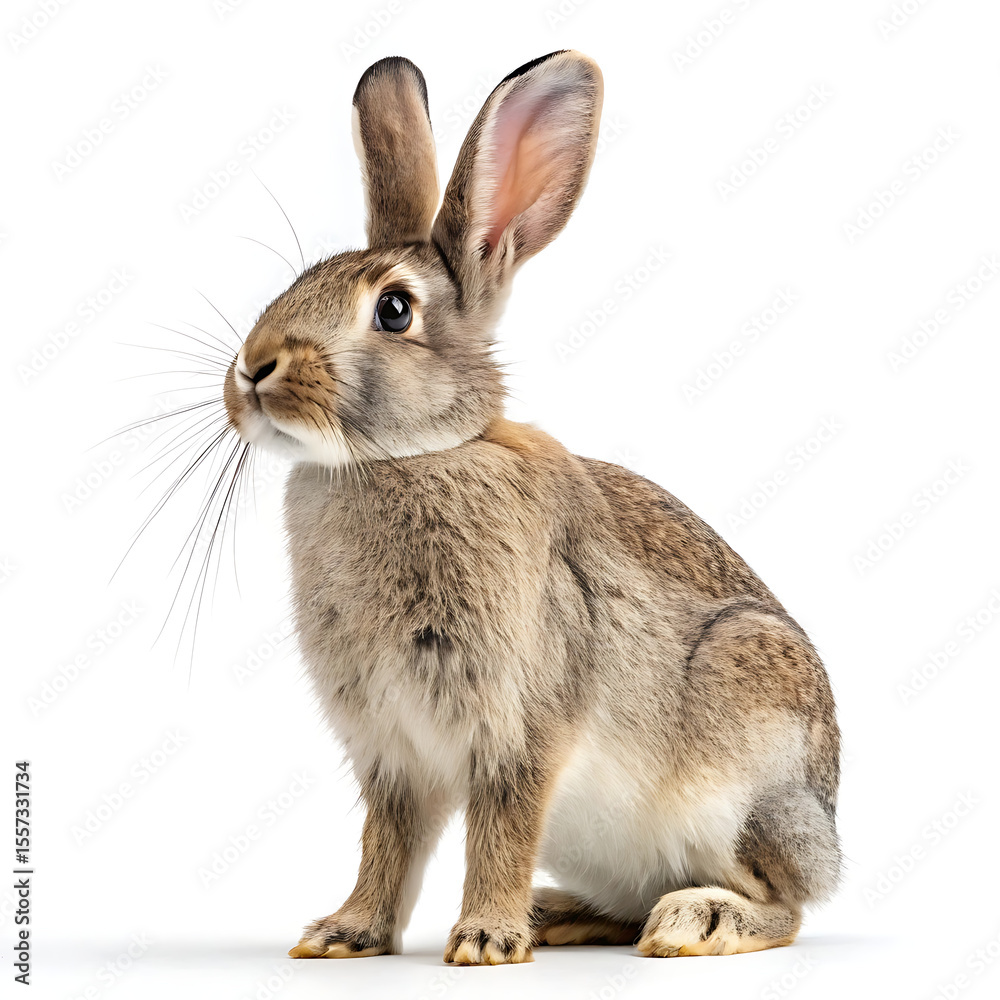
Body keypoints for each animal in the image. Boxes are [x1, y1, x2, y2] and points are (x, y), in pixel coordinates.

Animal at [220, 50, 841, 964]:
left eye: (393, 309)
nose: (253, 368)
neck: (407, 457)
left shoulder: (522, 725)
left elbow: (501, 828)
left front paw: (483, 941)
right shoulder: (392, 750)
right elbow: (388, 841)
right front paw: (345, 934)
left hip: (745, 780)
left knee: (787, 905)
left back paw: (694, 920)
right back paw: (561, 914)